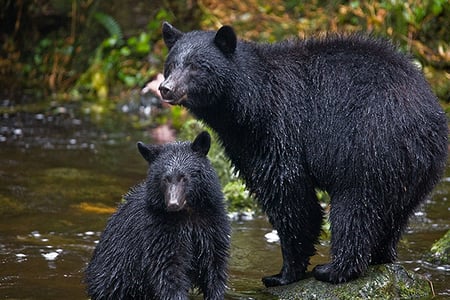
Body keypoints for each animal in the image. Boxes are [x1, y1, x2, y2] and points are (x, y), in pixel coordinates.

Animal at [85, 132, 230, 300]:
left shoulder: (212, 226)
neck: (187, 214)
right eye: (164, 178)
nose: (173, 204)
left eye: (184, 177)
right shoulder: (158, 232)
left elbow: (214, 267)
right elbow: (168, 271)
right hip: (114, 275)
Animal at [158, 21, 446, 286]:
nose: (166, 88)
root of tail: (424, 119)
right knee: (395, 214)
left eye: (196, 66)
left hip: (369, 147)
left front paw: (282, 274)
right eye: (171, 64)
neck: (249, 104)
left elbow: (289, 195)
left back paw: (334, 269)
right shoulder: (244, 141)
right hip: (417, 170)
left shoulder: (280, 129)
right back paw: (380, 256)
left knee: (355, 208)